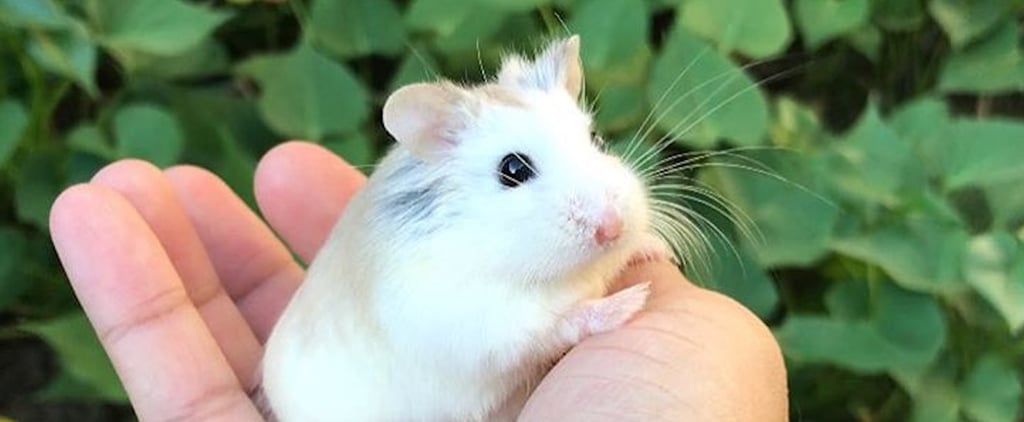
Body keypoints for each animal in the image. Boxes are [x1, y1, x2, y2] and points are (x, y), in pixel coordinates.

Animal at [259, 35, 669, 422]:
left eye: (596, 140)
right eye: (513, 169)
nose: (612, 228)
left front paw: (656, 248)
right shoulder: (482, 325)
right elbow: (556, 325)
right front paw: (632, 300)